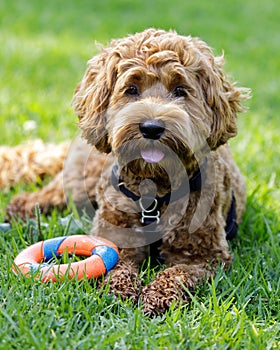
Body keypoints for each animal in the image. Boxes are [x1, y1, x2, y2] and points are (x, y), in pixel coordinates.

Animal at [6, 29, 249, 314]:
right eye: (131, 89)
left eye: (180, 90)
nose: (151, 128)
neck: (153, 191)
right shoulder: (115, 240)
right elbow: (118, 265)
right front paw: (119, 290)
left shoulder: (204, 256)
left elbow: (177, 273)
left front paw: (157, 295)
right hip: (80, 182)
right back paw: (21, 207)